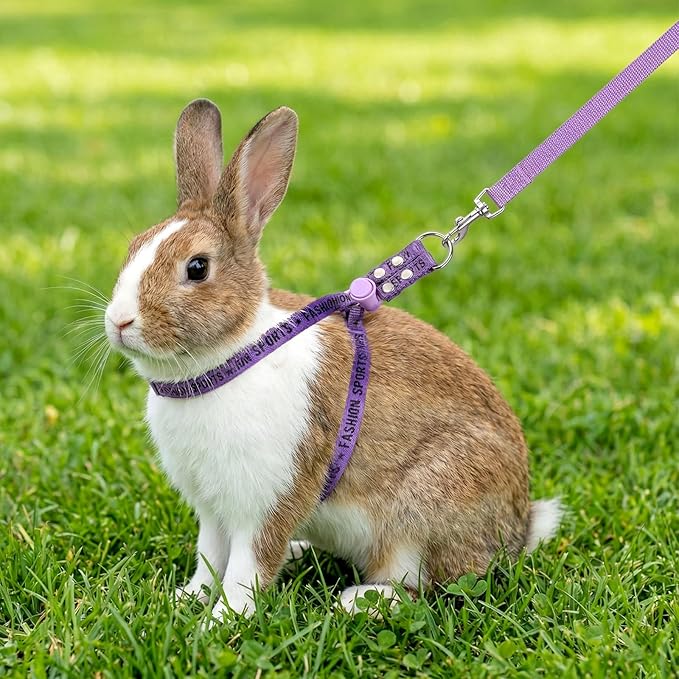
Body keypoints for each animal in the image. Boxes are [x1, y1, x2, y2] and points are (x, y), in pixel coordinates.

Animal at [104, 98, 562, 622]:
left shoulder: (268, 499)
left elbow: (246, 567)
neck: (229, 357)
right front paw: (187, 599)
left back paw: (356, 600)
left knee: (422, 587)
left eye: (197, 268)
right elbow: (210, 558)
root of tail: (517, 529)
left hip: (424, 511)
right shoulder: (212, 510)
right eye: (133, 247)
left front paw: (223, 620)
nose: (119, 321)